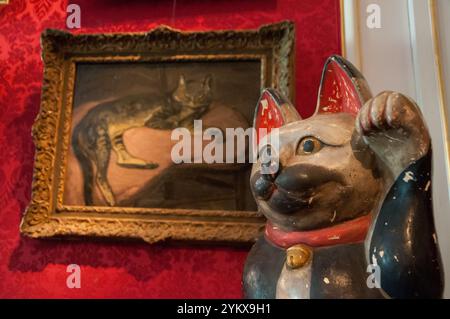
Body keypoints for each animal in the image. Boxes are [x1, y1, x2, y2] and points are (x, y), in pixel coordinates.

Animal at [72, 75, 213, 206]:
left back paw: (147, 164)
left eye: (200, 96)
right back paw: (111, 199)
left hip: (115, 138)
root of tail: (80, 123)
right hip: (101, 140)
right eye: (187, 96)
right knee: (100, 176)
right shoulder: (154, 120)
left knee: (121, 160)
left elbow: (203, 129)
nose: (193, 102)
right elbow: (174, 124)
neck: (189, 111)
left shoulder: (191, 125)